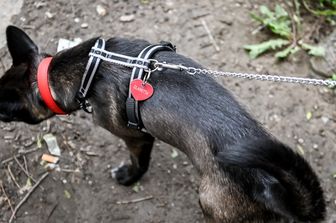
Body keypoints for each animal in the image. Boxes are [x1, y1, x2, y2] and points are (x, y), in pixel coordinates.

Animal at [0, 25, 326, 221]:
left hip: (210, 201)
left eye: (6, 113)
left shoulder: (137, 138)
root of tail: (271, 187)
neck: (90, 67)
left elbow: (139, 162)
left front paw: (129, 177)